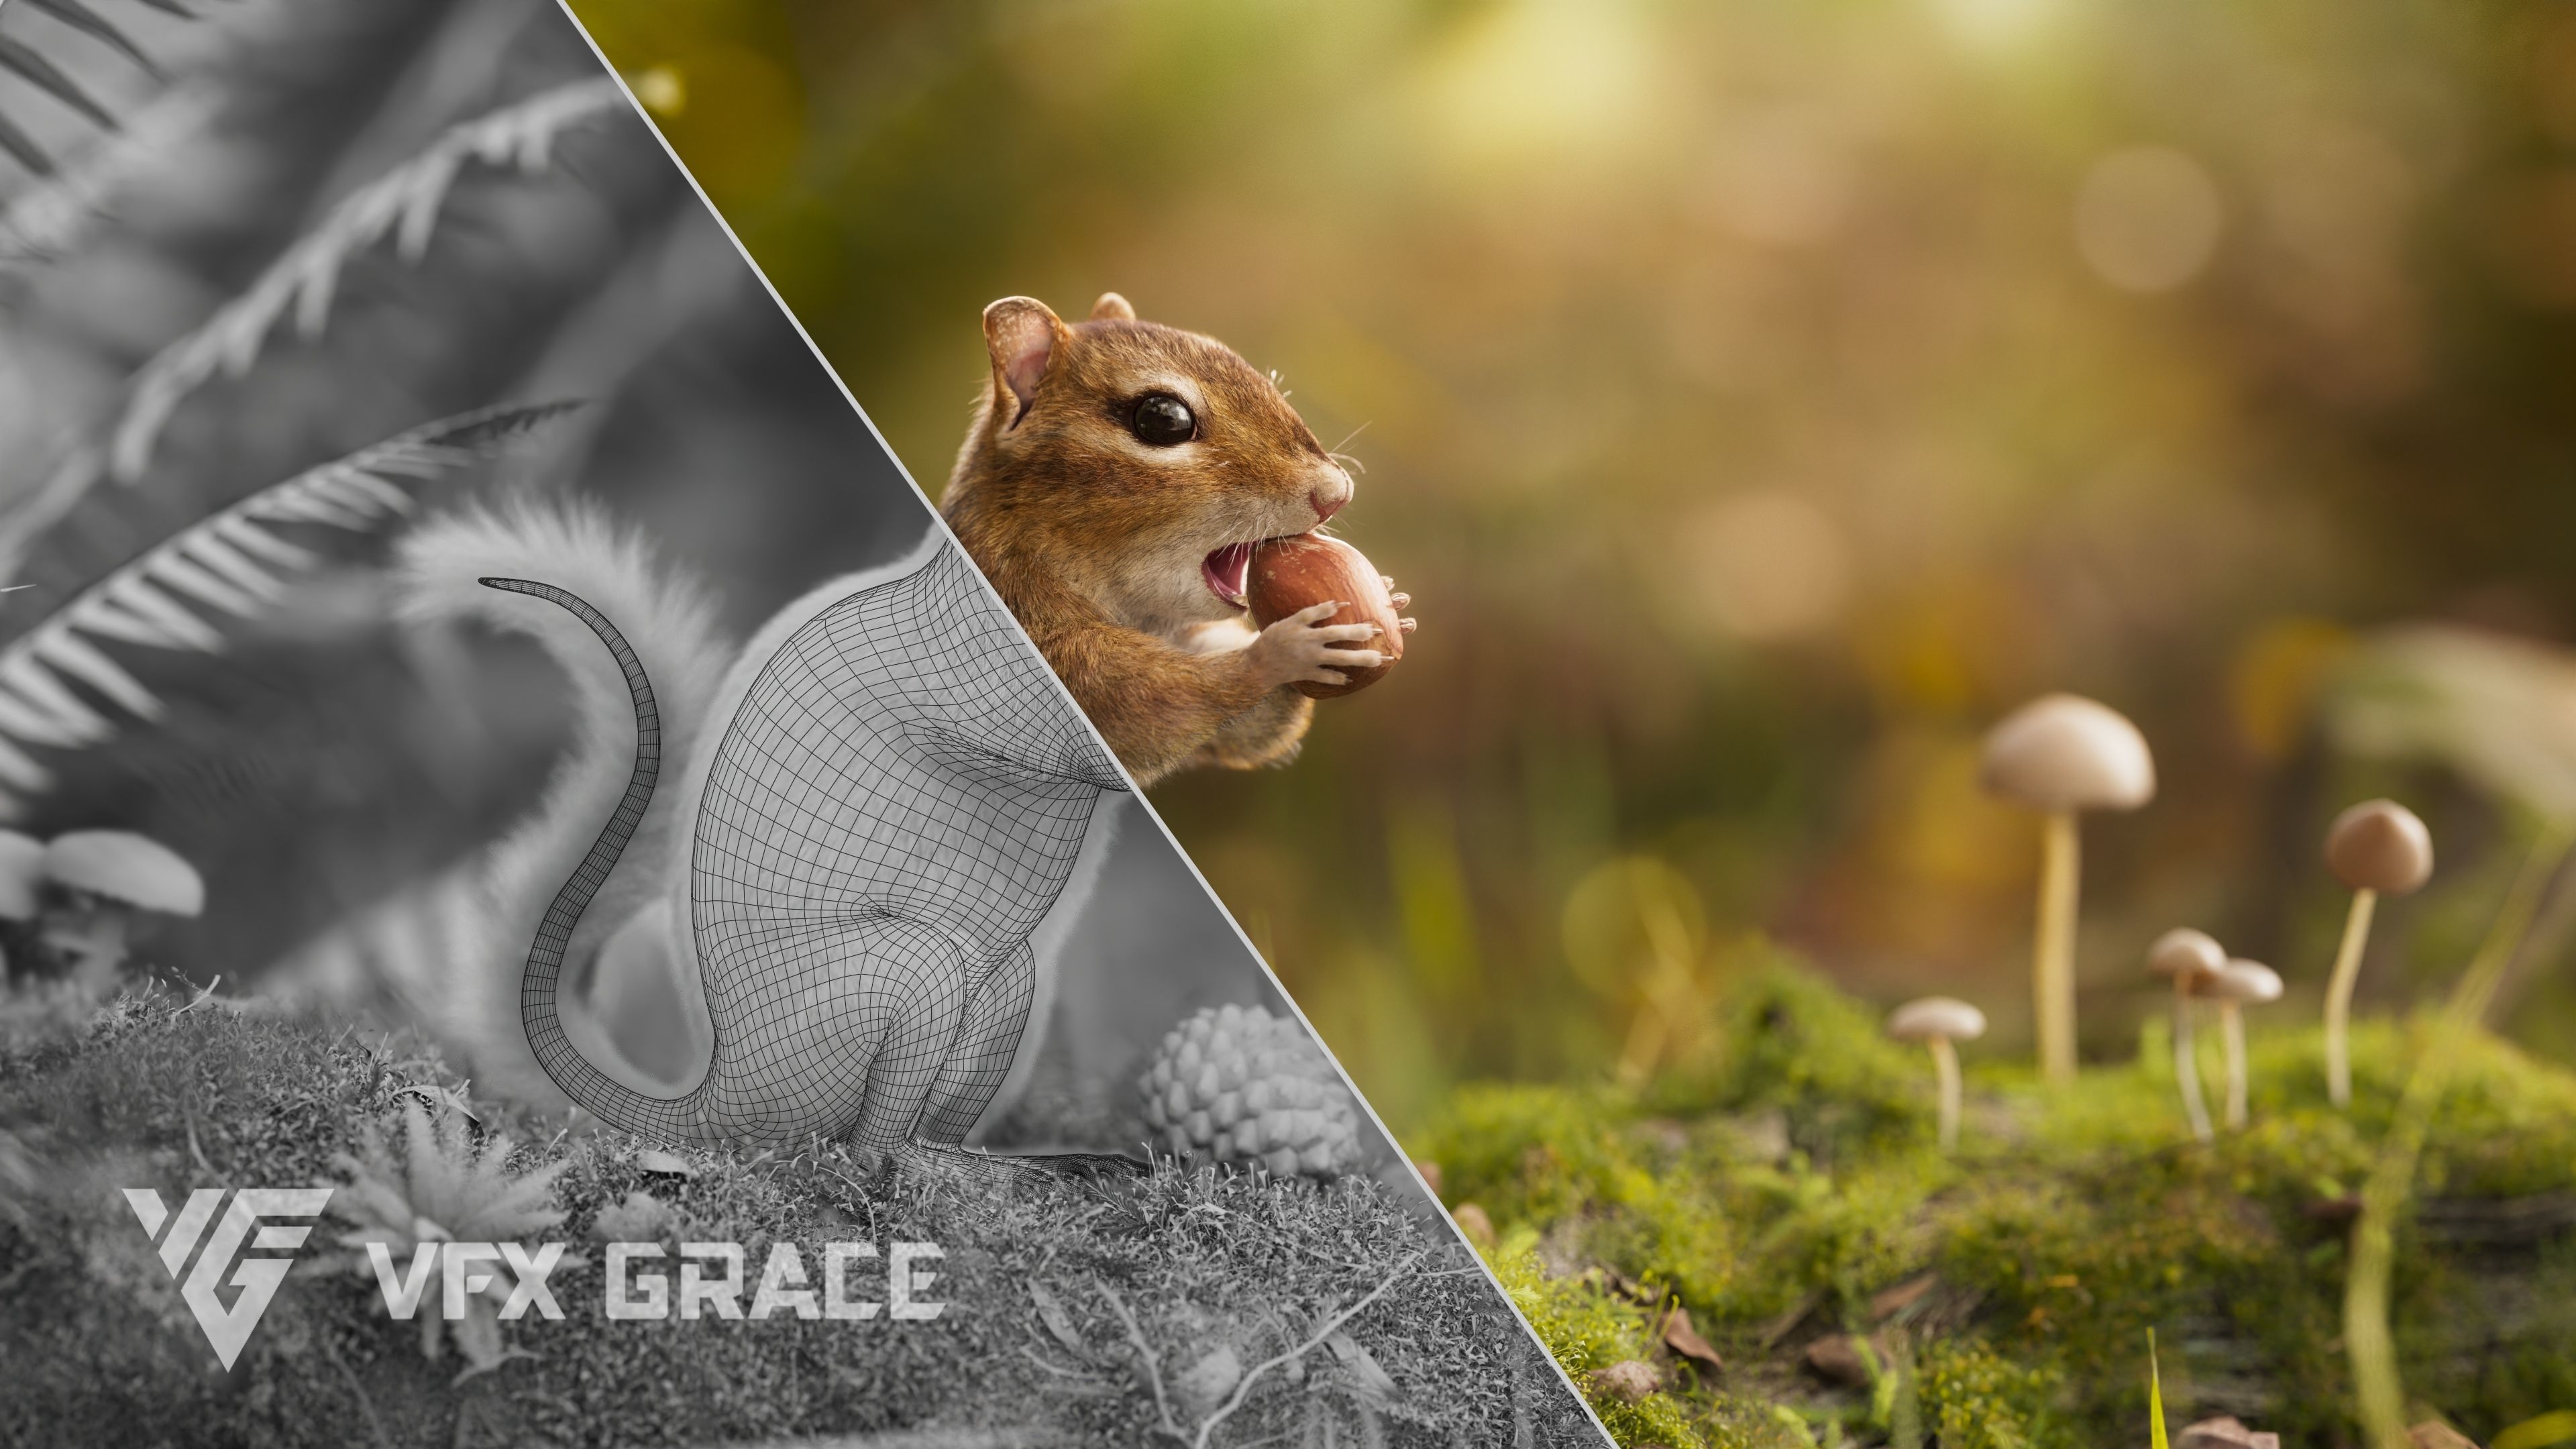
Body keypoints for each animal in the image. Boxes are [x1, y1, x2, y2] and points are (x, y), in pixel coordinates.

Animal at [940, 292, 1416, 788]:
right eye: (1163, 419)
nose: (1337, 493)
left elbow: (1247, 732)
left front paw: (1392, 601)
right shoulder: (1037, 641)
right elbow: (1141, 705)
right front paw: (1283, 650)